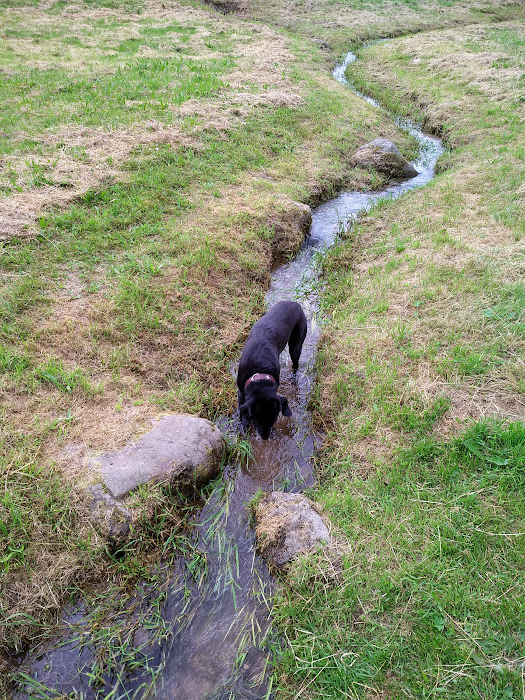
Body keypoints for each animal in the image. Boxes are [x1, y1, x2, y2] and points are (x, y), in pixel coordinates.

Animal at [235, 300, 304, 440]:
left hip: (296, 345)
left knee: (295, 364)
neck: (259, 372)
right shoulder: (241, 391)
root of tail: (295, 303)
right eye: (254, 419)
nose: (265, 438)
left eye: (274, 419)